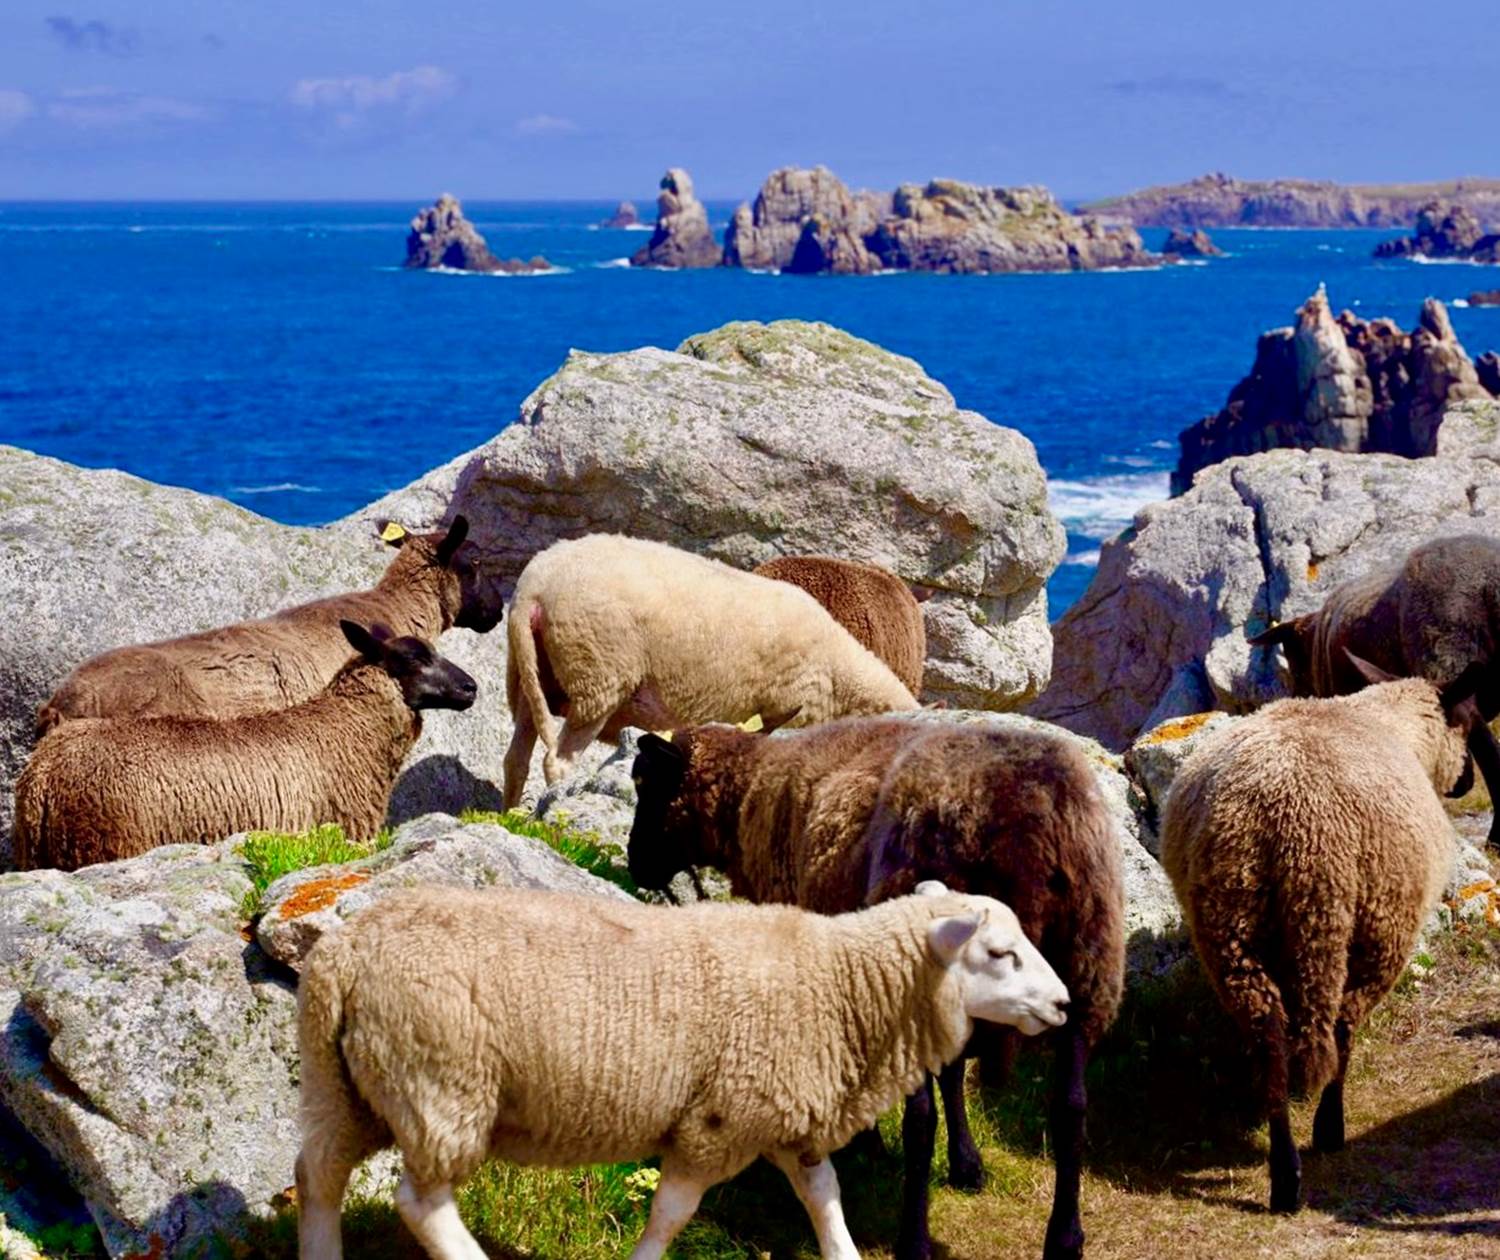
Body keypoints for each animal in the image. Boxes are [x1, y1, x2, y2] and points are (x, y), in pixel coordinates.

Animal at [294, 881, 1070, 1260]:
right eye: (999, 954)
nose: (1064, 1004)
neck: (841, 984)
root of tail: (342, 954)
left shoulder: (784, 1114)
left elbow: (825, 1196)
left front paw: (844, 1253)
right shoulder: (716, 1121)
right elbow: (672, 1214)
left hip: (348, 1087)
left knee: (318, 1176)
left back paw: (321, 1255)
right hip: (440, 1082)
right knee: (421, 1203)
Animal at [626, 716, 1126, 1260]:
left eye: (644, 783)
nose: (634, 863)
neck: (749, 799)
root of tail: (1024, 815)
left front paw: (867, 1142)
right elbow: (953, 1075)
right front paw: (966, 1164)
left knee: (921, 1119)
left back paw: (914, 1239)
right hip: (1086, 966)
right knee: (1071, 1107)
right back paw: (1065, 1238)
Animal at [1159, 652, 1482, 1213]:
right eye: (1464, 721)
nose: (1466, 782)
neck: (1391, 721)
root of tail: (1303, 833)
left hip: (1231, 923)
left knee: (1270, 1033)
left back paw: (1285, 1171)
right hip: (1378, 923)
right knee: (1343, 1025)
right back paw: (1327, 1132)